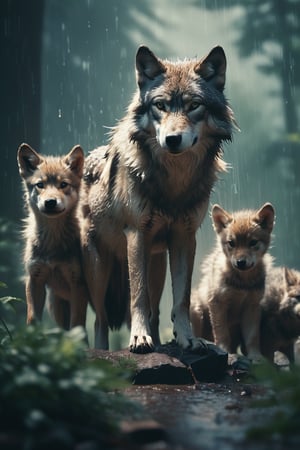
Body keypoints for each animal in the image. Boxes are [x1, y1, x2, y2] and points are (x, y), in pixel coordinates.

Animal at [82, 44, 237, 352]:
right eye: (161, 106)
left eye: (193, 105)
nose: (172, 139)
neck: (174, 183)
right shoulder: (136, 234)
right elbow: (138, 297)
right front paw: (139, 339)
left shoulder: (184, 237)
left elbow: (182, 300)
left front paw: (188, 339)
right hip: (99, 270)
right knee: (101, 320)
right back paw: (105, 351)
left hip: (157, 267)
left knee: (155, 311)